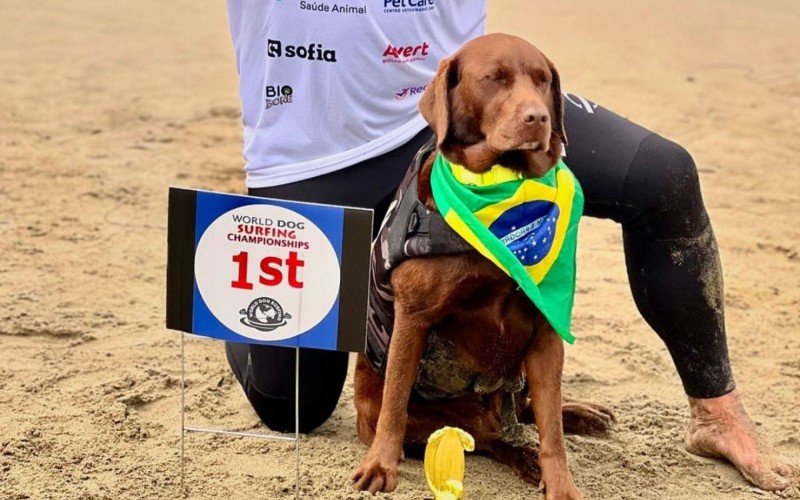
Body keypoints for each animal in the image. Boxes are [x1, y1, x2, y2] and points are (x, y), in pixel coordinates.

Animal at [350, 33, 612, 498]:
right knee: (486, 436)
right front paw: (380, 465)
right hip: (397, 405)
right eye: (494, 78)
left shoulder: (546, 330)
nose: (538, 118)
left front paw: (561, 483)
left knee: (527, 412)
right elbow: (395, 403)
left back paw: (578, 416)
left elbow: (552, 429)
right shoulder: (412, 317)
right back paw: (523, 456)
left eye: (543, 80)